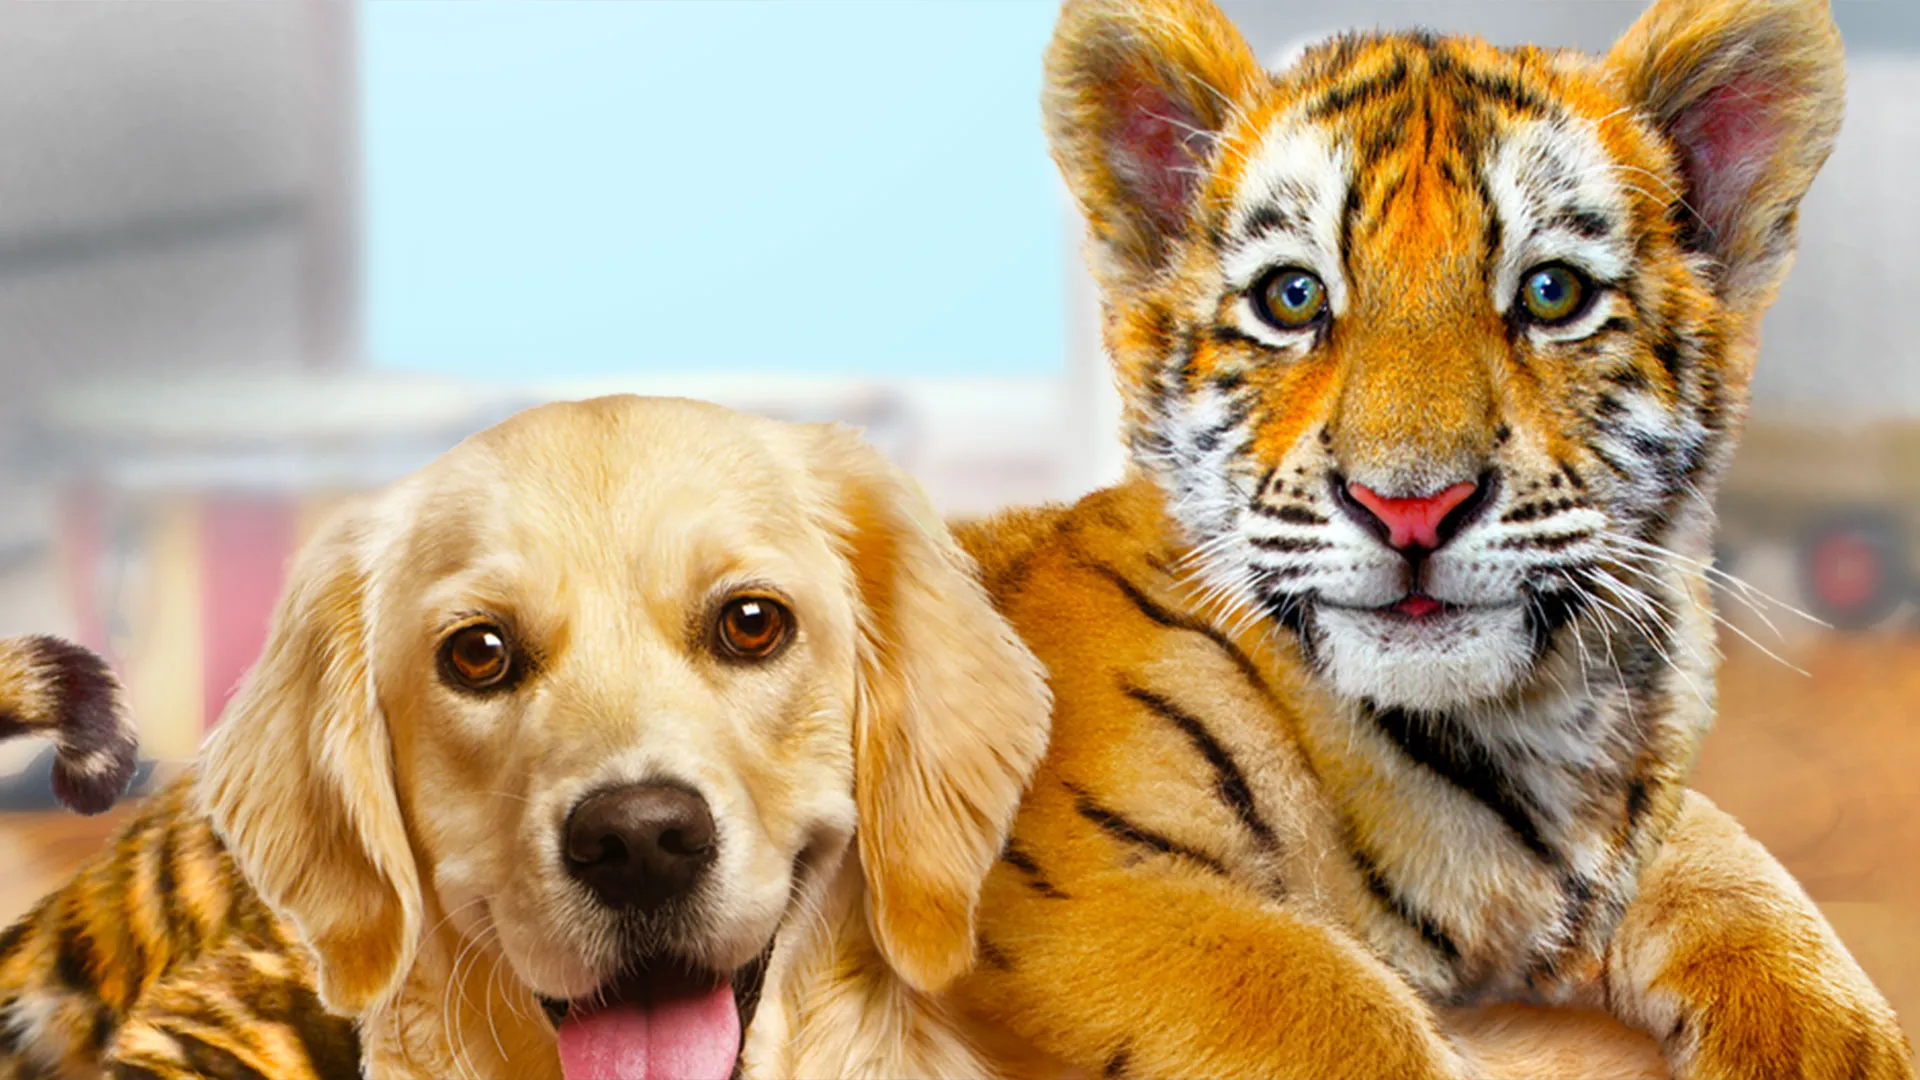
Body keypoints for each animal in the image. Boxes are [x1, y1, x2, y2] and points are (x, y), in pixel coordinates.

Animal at [945, 0, 1914, 1077]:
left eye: (1551, 293)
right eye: (1291, 298)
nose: (1411, 504)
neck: (1514, 735)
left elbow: (1744, 878)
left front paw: (1828, 1045)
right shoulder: (1072, 879)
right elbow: (1327, 1007)